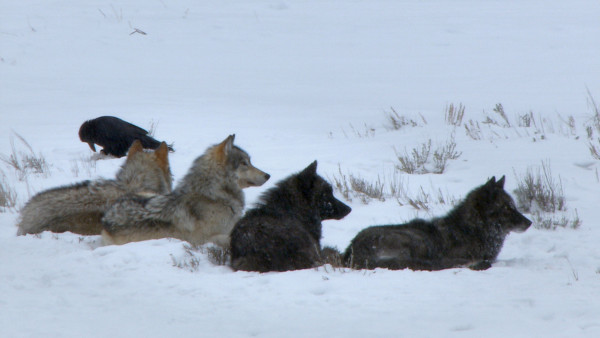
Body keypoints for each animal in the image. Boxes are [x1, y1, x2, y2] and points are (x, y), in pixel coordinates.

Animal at [102, 133, 270, 247]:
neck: (213, 196)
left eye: (249, 162)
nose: (268, 175)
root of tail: (107, 215)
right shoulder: (205, 239)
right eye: (244, 163)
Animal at [344, 176, 532, 270]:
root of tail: (352, 251)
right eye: (507, 208)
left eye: (514, 206)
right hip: (415, 240)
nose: (529, 223)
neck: (472, 230)